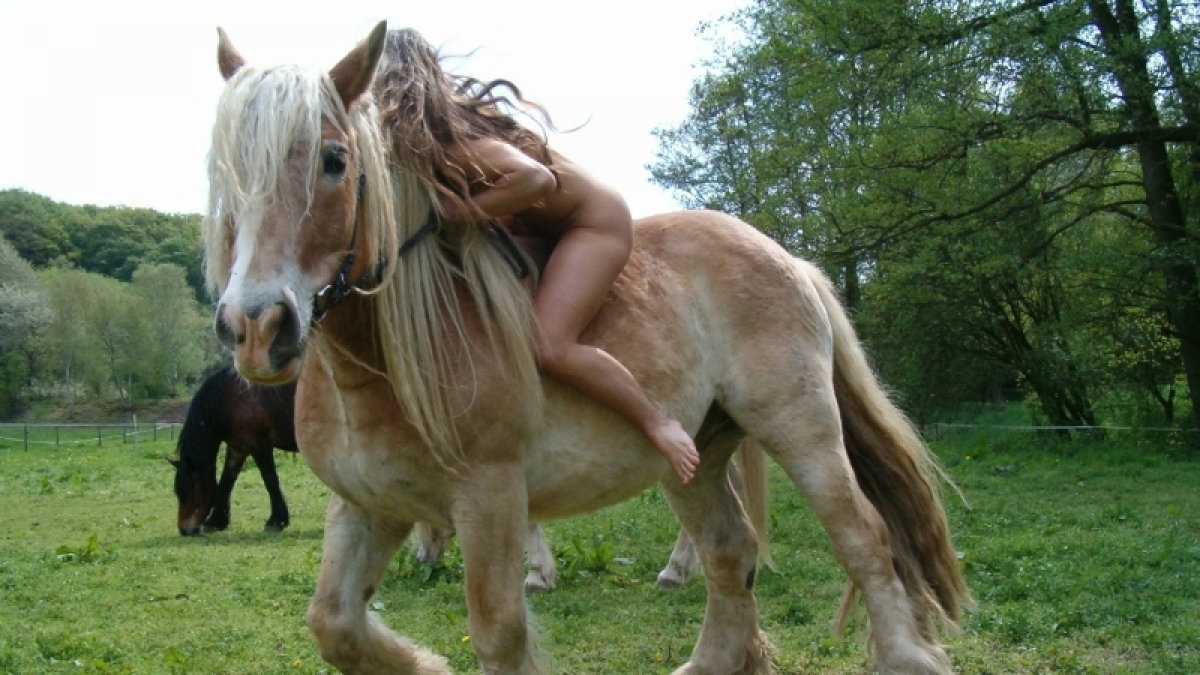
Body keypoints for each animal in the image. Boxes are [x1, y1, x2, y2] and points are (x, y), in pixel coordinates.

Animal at [204, 22, 968, 675]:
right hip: (696, 454)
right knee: (730, 553)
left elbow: (499, 634)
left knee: (864, 537)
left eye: (334, 160)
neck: (383, 367)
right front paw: (424, 661)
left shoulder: (490, 499)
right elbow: (335, 624)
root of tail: (789, 258)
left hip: (801, 427)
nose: (257, 329)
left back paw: (907, 657)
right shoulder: (368, 504)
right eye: (224, 173)